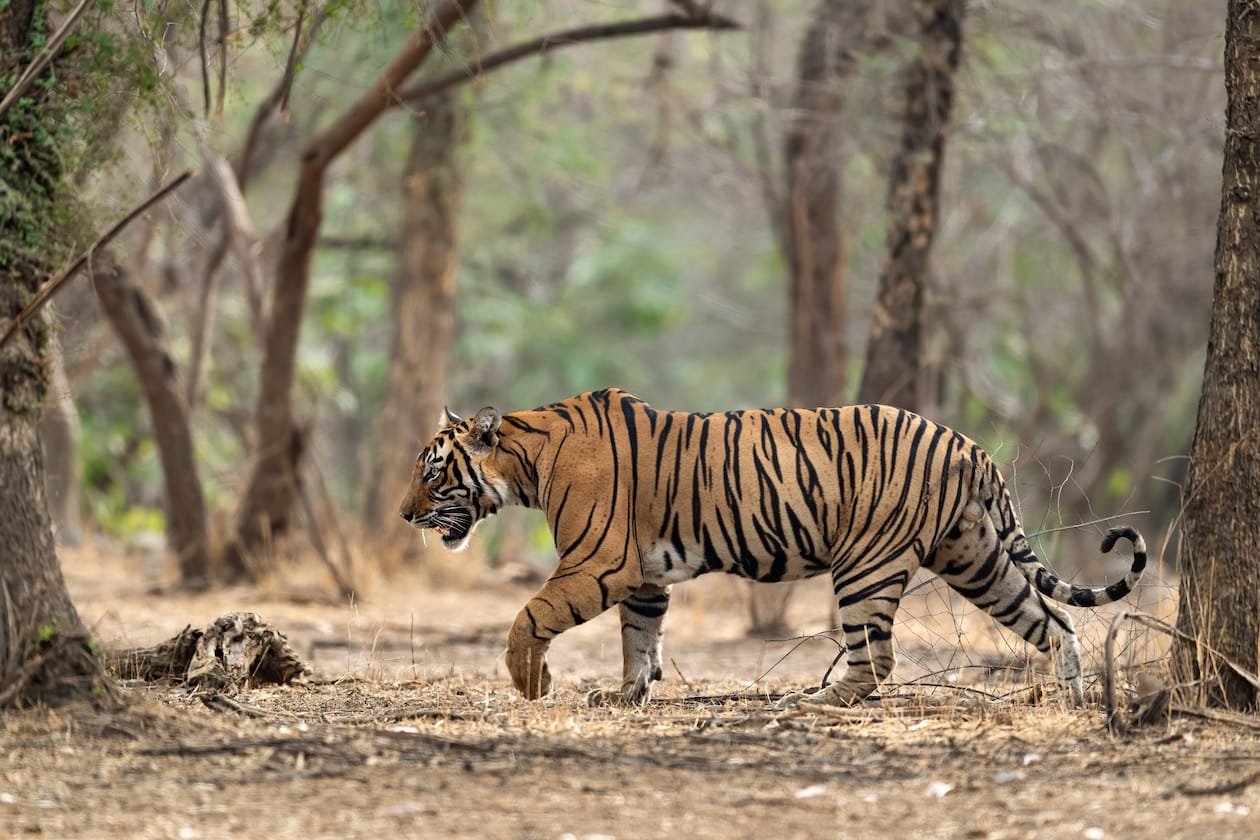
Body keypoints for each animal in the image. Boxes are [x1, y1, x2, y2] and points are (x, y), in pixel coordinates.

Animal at [398, 388, 1147, 707]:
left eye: (431, 472)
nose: (405, 515)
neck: (526, 460)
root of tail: (967, 444)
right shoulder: (643, 575)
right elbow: (640, 638)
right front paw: (627, 695)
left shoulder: (599, 564)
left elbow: (529, 618)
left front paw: (535, 686)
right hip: (976, 556)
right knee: (1053, 620)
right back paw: (1073, 699)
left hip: (867, 564)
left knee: (876, 658)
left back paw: (815, 702)